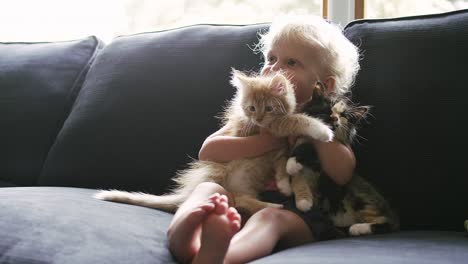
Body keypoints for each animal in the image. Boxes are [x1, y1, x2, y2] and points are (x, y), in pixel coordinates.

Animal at [95, 70, 334, 217]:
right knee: (235, 199)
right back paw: (272, 206)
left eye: (268, 108)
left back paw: (272, 205)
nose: (257, 119)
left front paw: (284, 184)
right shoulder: (270, 131)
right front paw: (322, 130)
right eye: (251, 109)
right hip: (218, 174)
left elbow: (282, 163)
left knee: (241, 199)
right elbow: (295, 120)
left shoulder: (278, 148)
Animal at [280, 85, 400, 237]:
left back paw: (357, 228)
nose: (334, 117)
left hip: (362, 200)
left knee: (386, 224)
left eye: (343, 116)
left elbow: (309, 149)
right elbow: (302, 151)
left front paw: (292, 165)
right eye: (328, 109)